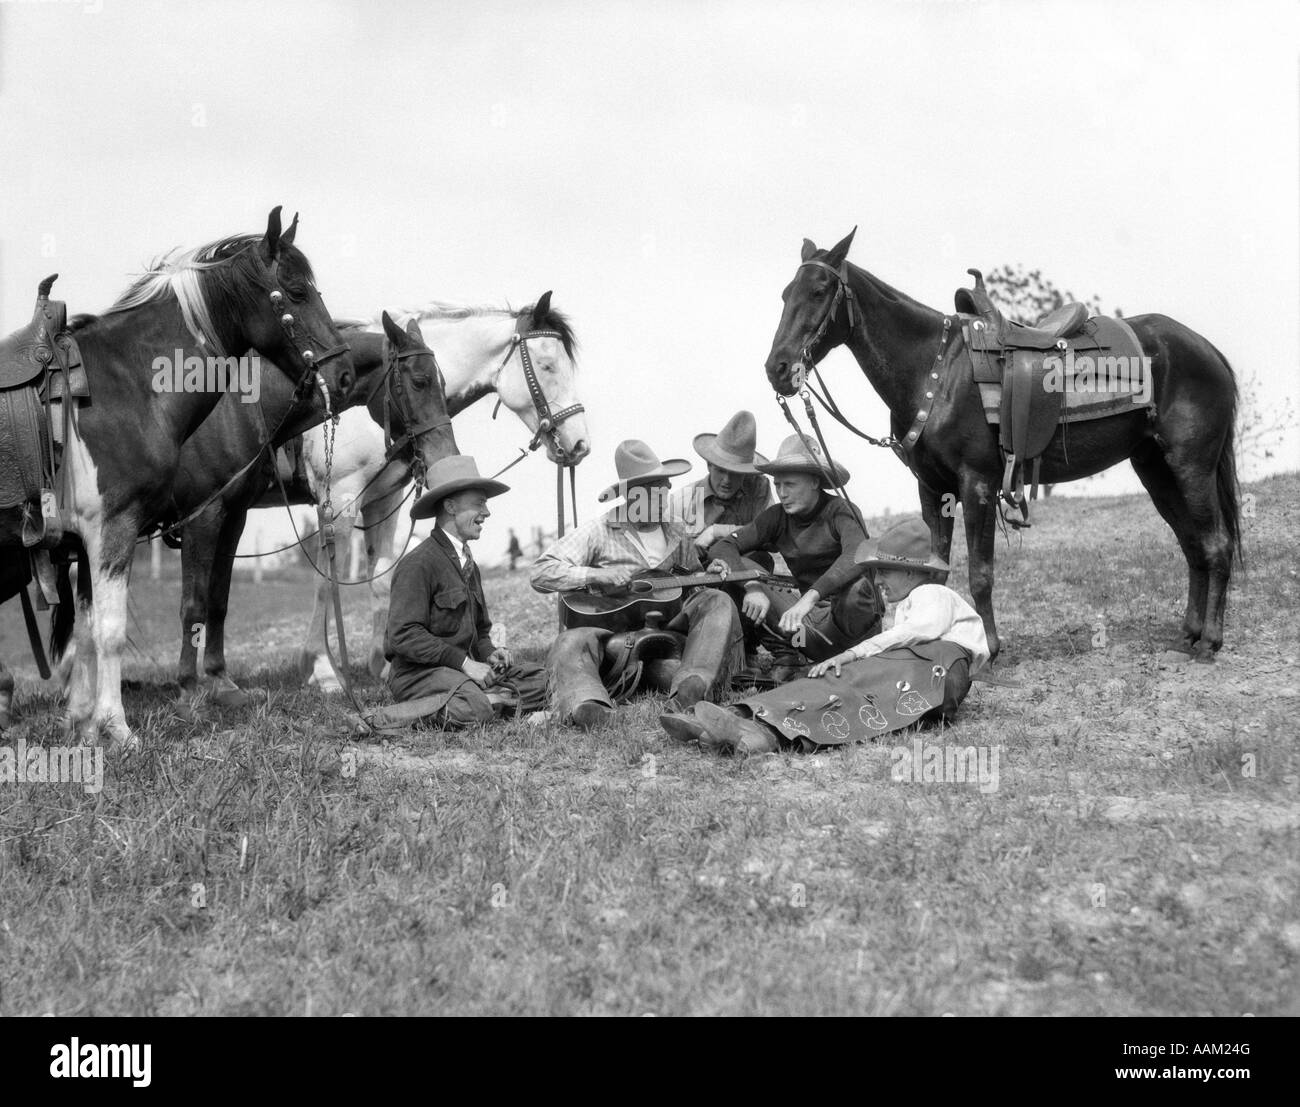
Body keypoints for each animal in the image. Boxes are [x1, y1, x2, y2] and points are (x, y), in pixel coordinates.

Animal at [0, 207, 356, 743]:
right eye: (296, 293)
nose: (344, 377)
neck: (125, 386)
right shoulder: (117, 527)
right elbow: (112, 631)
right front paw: (118, 728)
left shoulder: (87, 539)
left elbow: (87, 632)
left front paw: (84, 726)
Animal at [764, 224, 1242, 657]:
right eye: (785, 294)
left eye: (820, 290)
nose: (777, 369)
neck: (935, 372)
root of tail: (1208, 350)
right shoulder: (933, 489)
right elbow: (934, 570)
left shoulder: (977, 483)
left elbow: (981, 572)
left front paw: (990, 648)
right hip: (1155, 469)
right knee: (1192, 544)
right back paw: (1189, 635)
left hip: (1191, 466)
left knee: (1215, 543)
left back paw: (1210, 641)